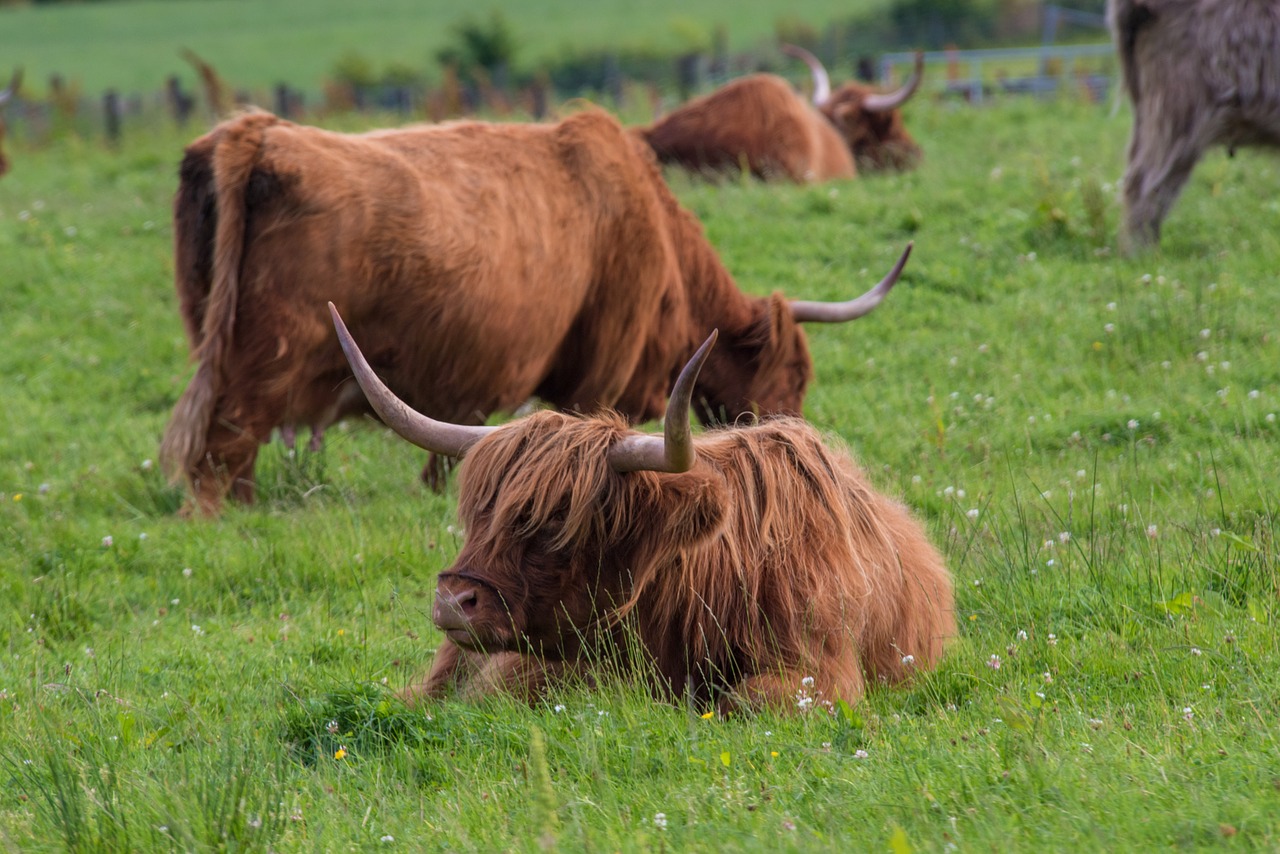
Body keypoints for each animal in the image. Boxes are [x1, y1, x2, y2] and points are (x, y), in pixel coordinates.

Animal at [165, 106, 916, 514]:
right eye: (793, 375)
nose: (805, 449)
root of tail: (255, 133)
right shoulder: (599, 374)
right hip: (258, 366)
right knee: (223, 451)